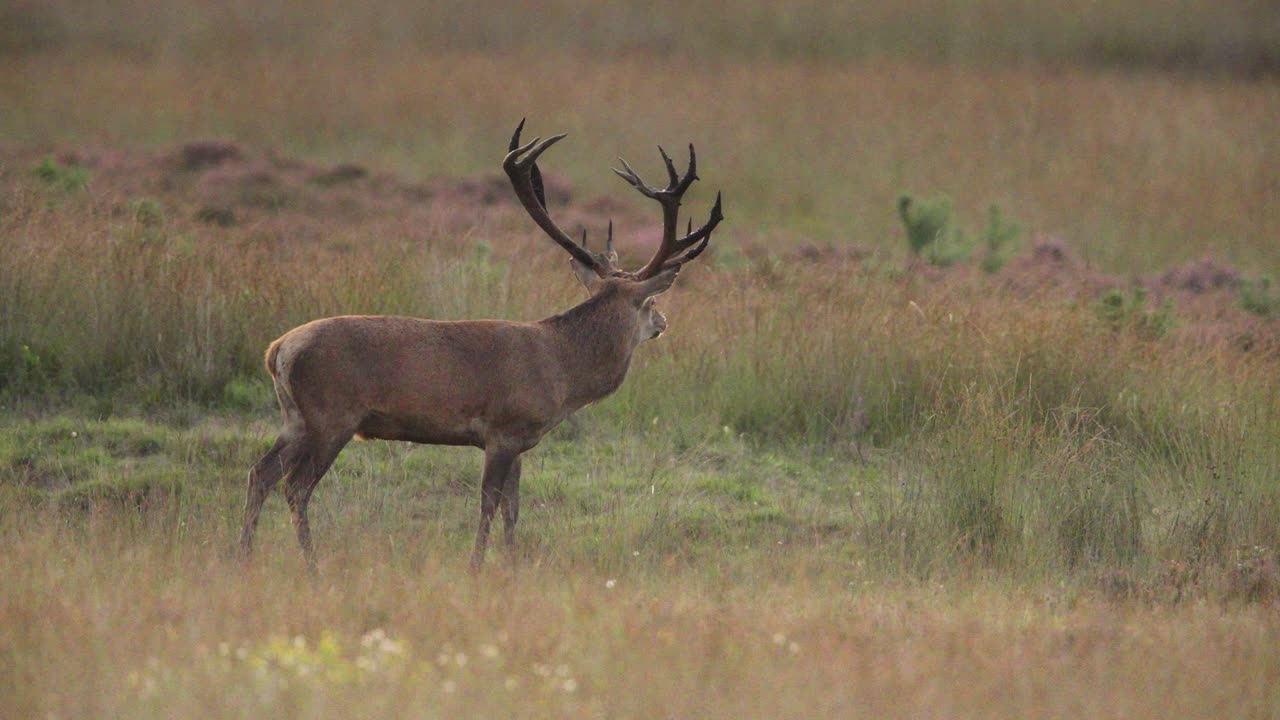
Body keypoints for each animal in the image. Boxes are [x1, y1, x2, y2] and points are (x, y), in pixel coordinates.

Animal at [238, 120, 724, 571]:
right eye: (652, 301)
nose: (663, 322)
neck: (563, 370)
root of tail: (277, 350)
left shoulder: (522, 440)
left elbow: (513, 507)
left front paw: (510, 563)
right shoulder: (503, 429)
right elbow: (489, 503)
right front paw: (476, 566)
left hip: (295, 418)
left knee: (259, 473)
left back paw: (241, 556)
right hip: (332, 415)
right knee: (295, 487)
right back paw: (312, 565)